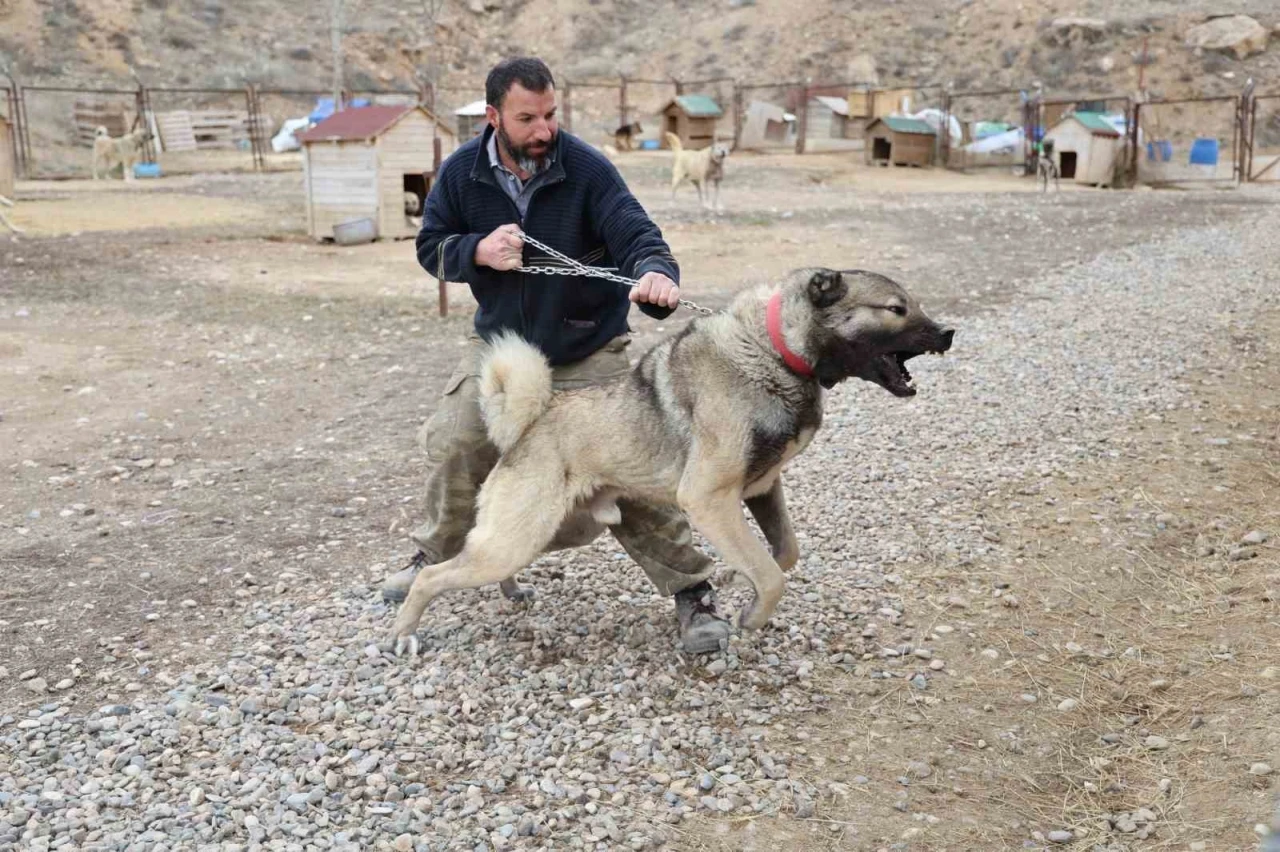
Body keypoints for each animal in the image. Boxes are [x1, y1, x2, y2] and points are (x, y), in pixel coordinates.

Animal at [384, 268, 957, 652]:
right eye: (896, 309)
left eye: (913, 304)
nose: (949, 333)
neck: (773, 350)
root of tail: (526, 426)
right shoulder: (709, 500)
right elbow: (773, 575)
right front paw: (751, 615)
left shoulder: (760, 491)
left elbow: (782, 553)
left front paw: (735, 582)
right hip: (519, 537)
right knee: (436, 577)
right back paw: (404, 631)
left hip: (552, 533)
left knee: (477, 557)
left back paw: (509, 591)